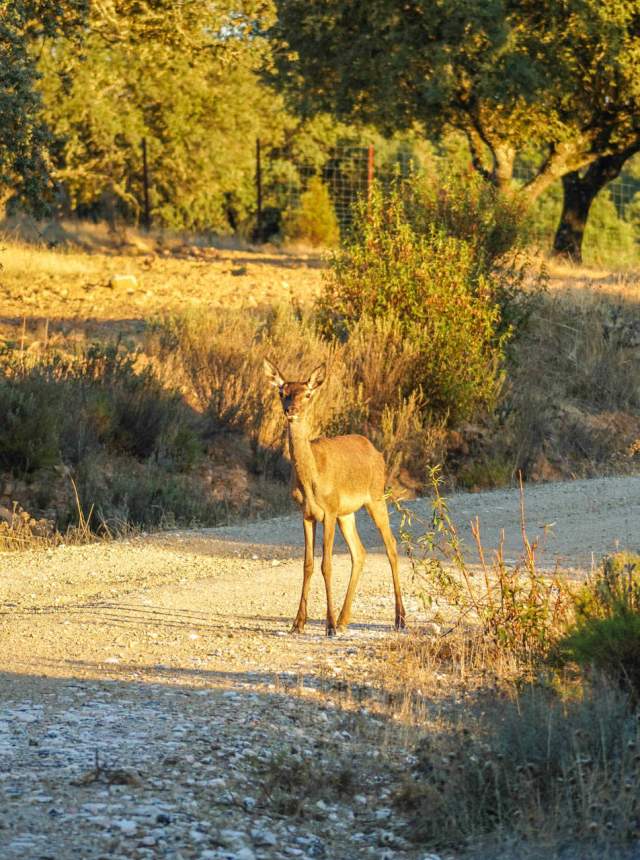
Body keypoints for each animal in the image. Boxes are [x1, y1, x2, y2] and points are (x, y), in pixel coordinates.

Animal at [264, 358, 406, 637]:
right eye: (282, 392)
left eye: (308, 394)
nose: (291, 410)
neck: (312, 478)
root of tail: (377, 452)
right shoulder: (306, 514)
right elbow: (308, 564)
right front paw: (298, 623)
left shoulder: (328, 511)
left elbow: (326, 565)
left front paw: (327, 625)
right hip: (347, 514)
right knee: (359, 552)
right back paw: (344, 620)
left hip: (375, 497)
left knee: (391, 546)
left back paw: (399, 619)